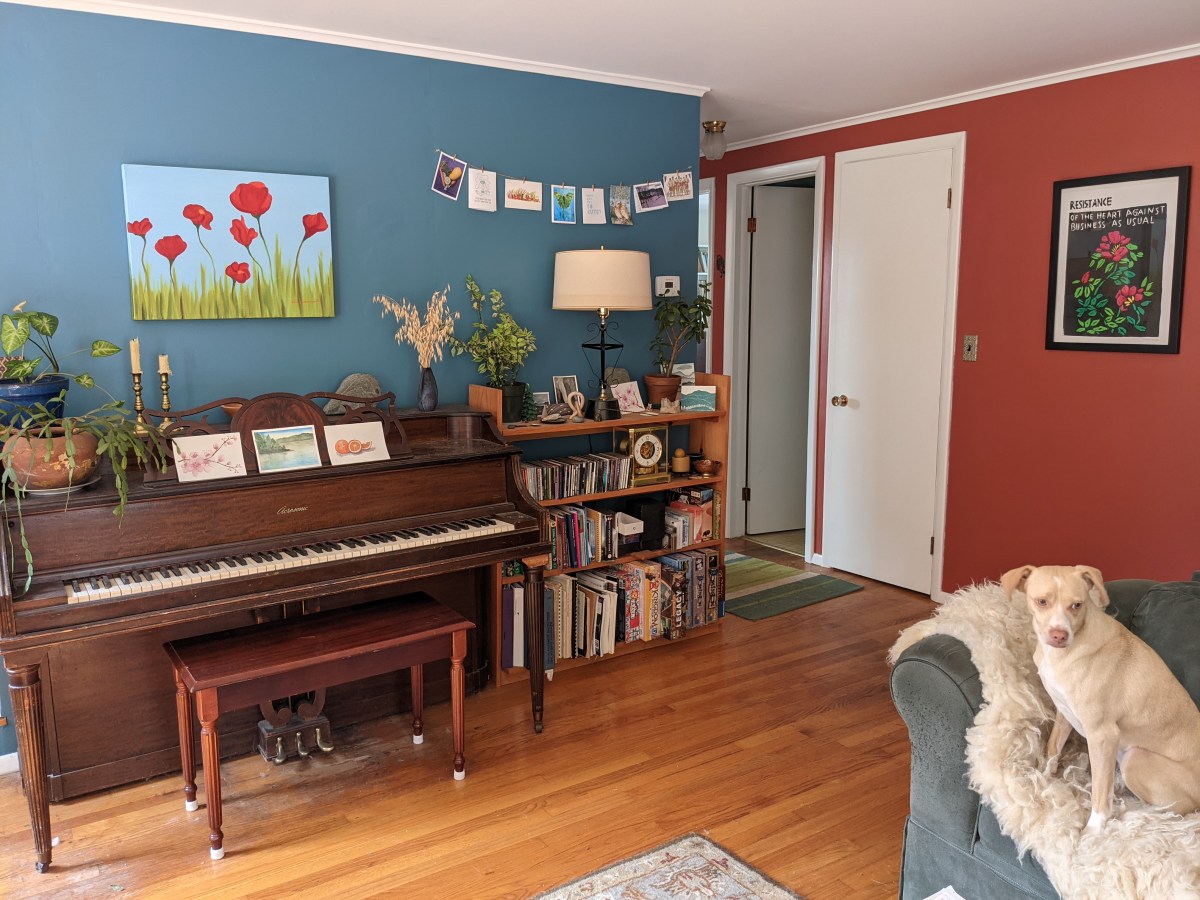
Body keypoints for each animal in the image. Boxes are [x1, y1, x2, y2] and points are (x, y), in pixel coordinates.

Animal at [998, 564, 1200, 830]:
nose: (1059, 635)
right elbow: (1053, 748)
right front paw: (1044, 779)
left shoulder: (1103, 735)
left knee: (1171, 811)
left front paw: (1093, 832)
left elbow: (1100, 797)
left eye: (1077, 605)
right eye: (1041, 601)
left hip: (1136, 758)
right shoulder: (1064, 712)